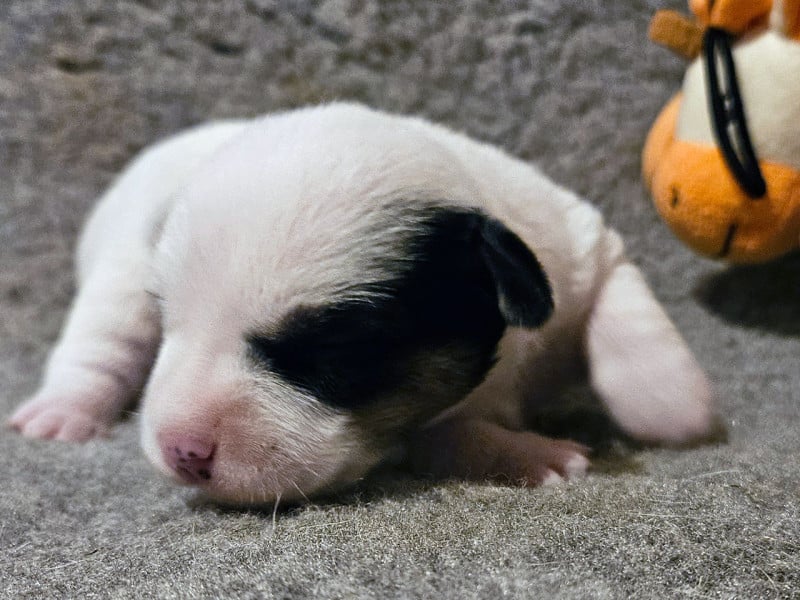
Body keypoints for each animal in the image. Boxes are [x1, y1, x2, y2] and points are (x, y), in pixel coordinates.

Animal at [8, 103, 716, 505]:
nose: (184, 451)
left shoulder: (580, 243)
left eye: (334, 353)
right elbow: (448, 433)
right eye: (169, 324)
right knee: (100, 343)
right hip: (121, 270)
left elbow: (626, 313)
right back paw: (60, 412)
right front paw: (529, 454)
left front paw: (673, 409)